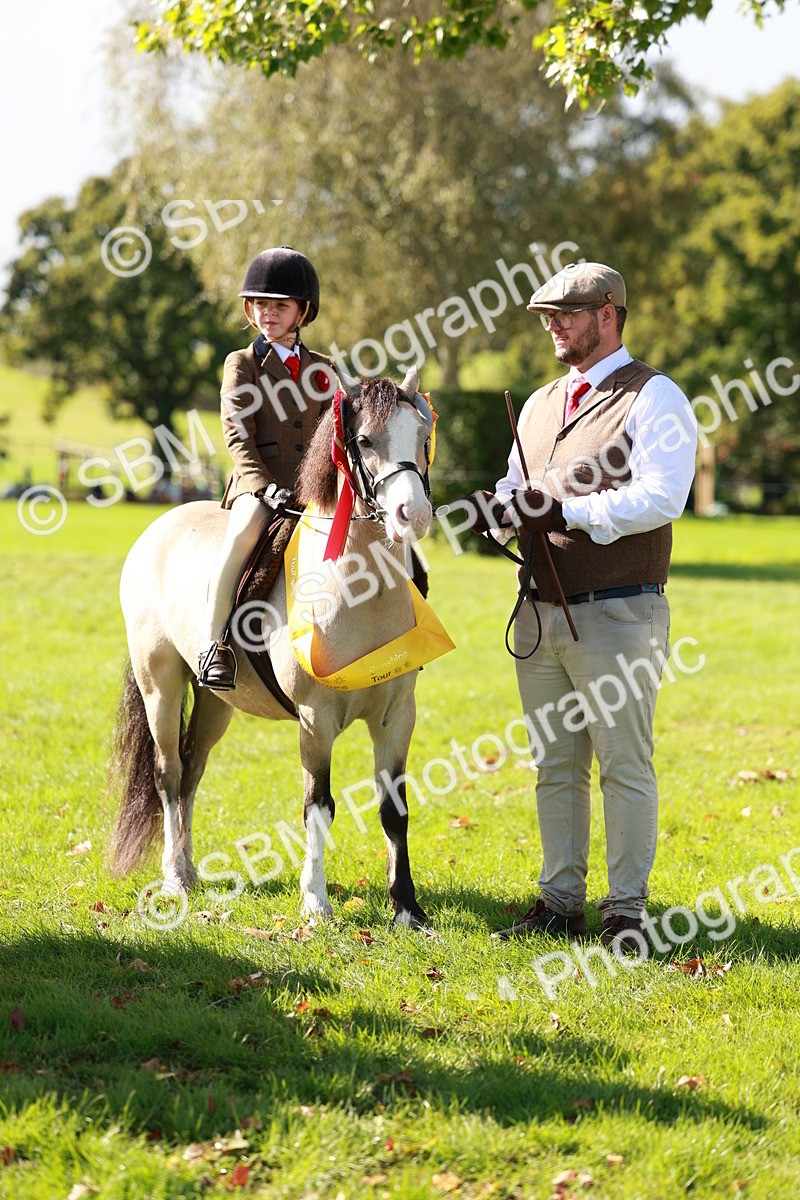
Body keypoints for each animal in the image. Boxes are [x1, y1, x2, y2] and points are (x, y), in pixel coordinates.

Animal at [108, 365, 438, 927]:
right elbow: (318, 806)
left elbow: (394, 809)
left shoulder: (398, 716)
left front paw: (407, 909)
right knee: (169, 774)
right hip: (160, 685)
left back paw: (190, 870)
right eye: (365, 440)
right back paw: (173, 876)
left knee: (192, 769)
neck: (361, 593)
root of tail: (161, 525)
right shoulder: (315, 720)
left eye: (422, 436)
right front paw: (316, 904)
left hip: (216, 700)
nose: (411, 515)